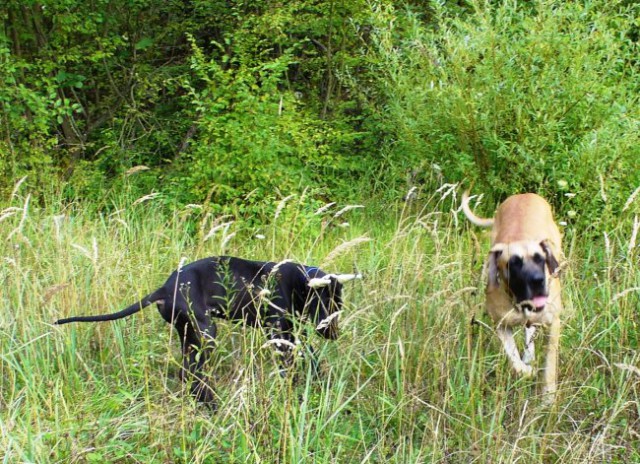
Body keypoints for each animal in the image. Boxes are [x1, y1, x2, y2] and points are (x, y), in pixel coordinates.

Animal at [55, 258, 358, 406]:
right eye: (324, 303)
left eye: (339, 304)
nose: (333, 334)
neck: (297, 282)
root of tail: (164, 289)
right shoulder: (278, 335)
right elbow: (290, 366)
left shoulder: (292, 333)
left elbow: (312, 358)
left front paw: (318, 382)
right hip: (205, 332)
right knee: (194, 373)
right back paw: (212, 404)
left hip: (189, 335)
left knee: (187, 372)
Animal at [462, 190, 564, 396]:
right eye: (514, 263)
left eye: (540, 258)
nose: (537, 281)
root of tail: (523, 194)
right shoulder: (501, 325)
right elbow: (514, 360)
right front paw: (527, 370)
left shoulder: (554, 324)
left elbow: (549, 366)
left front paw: (548, 397)